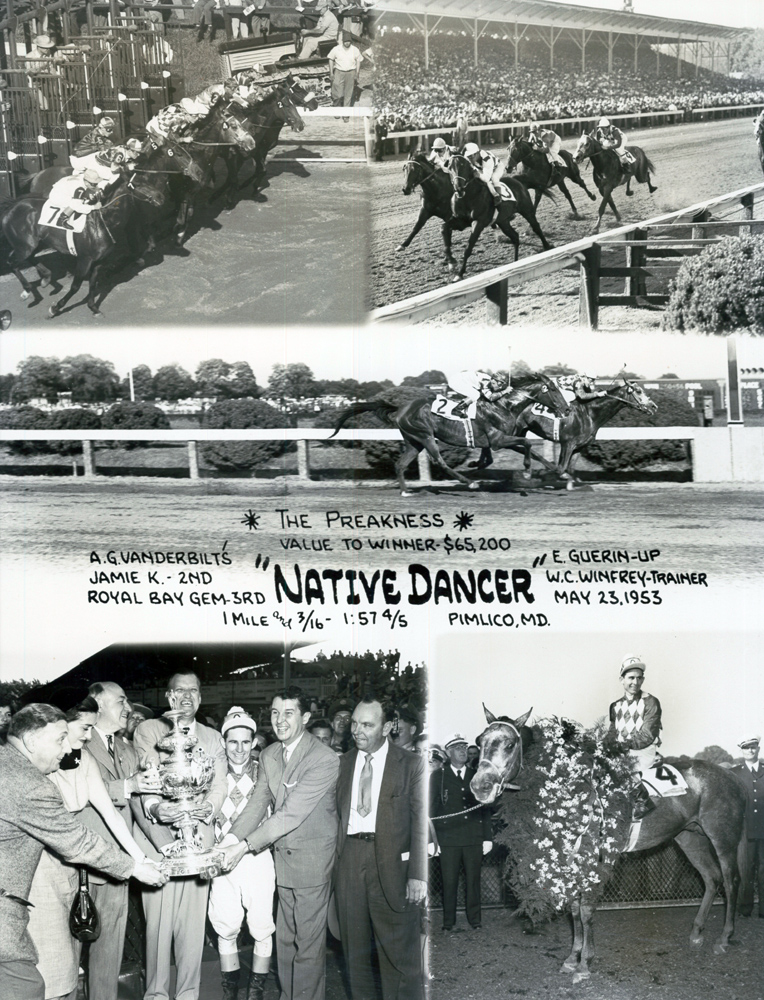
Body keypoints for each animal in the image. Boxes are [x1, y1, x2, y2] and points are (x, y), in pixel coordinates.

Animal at [332, 374, 572, 494]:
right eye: (553, 390)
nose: (568, 409)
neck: (503, 405)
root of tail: (401, 408)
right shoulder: (498, 440)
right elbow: (528, 444)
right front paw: (528, 473)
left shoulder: (500, 440)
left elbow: (528, 449)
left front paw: (560, 473)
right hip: (425, 436)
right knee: (439, 461)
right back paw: (469, 483)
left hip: (413, 441)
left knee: (400, 464)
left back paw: (406, 491)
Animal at [472, 716, 748, 980]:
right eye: (479, 741)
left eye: (510, 744)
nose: (479, 786)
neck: (569, 787)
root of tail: (731, 775)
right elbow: (574, 910)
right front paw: (572, 958)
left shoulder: (594, 860)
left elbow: (585, 911)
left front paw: (584, 964)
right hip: (690, 838)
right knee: (711, 878)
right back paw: (696, 933)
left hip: (723, 837)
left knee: (731, 880)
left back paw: (724, 938)